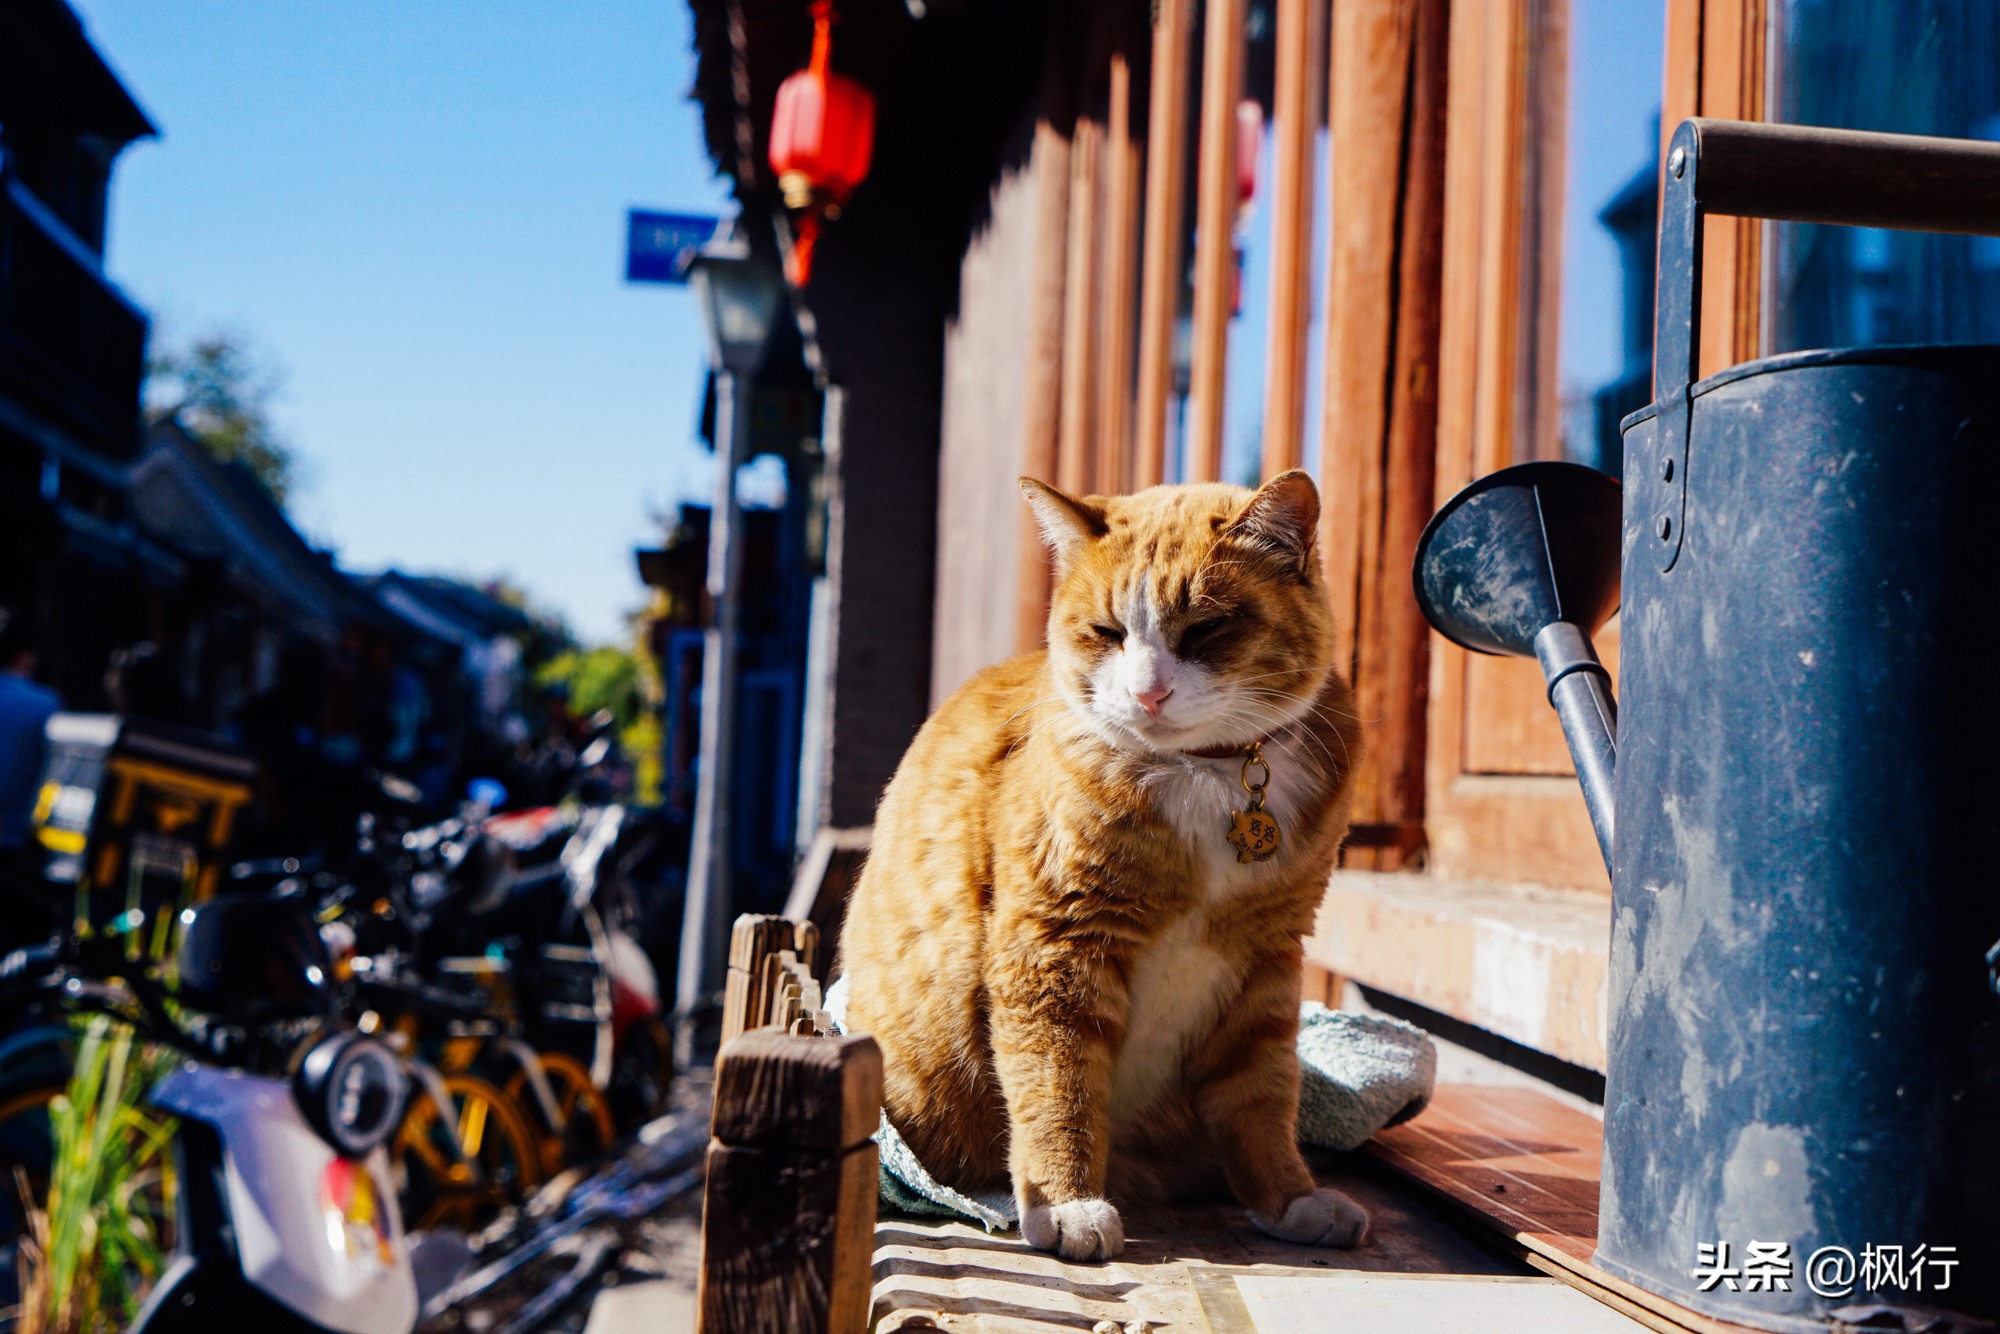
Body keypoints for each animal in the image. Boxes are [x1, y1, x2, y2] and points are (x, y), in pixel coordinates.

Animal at [836, 472, 1368, 1264]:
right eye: (1107, 633)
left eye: (1207, 629)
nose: (1149, 692)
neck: (1206, 776)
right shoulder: (1057, 947)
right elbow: (1058, 1083)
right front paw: (1068, 1204)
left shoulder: (1268, 963)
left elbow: (1262, 1095)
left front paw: (1288, 1197)